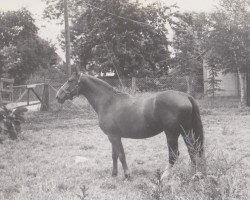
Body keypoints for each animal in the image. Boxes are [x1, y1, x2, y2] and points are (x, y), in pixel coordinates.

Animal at [56, 70, 205, 178]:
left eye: (70, 81)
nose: (58, 96)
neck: (109, 102)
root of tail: (185, 96)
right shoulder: (113, 136)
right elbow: (114, 155)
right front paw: (114, 174)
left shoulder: (114, 136)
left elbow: (121, 155)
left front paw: (127, 175)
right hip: (186, 132)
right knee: (192, 150)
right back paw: (194, 173)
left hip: (172, 134)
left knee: (174, 154)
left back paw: (166, 175)